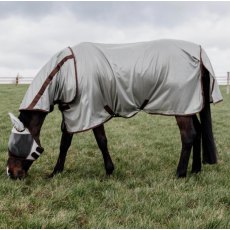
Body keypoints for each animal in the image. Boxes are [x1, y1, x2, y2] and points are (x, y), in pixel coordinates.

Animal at [6, 39, 223, 180]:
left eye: (16, 143)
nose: (11, 173)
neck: (68, 70)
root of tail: (199, 52)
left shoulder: (91, 112)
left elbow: (101, 141)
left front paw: (109, 170)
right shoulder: (73, 113)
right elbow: (65, 143)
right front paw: (56, 172)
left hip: (180, 107)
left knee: (189, 135)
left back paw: (180, 173)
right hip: (188, 106)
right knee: (198, 131)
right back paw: (195, 170)